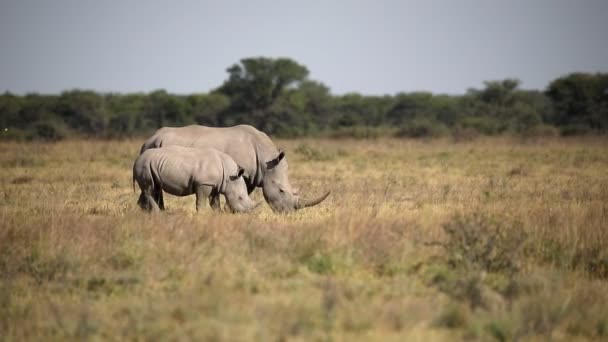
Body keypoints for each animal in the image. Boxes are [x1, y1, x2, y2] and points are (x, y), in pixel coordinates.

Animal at [140, 124, 330, 212]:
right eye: (281, 191)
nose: (289, 213)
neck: (266, 160)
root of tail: (149, 139)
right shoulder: (243, 173)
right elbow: (242, 191)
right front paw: (231, 210)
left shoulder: (253, 175)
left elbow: (245, 192)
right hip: (155, 148)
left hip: (155, 148)